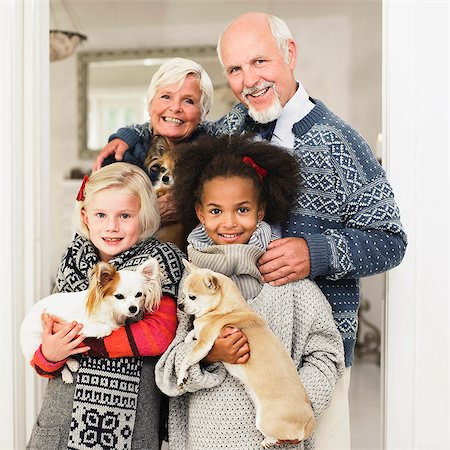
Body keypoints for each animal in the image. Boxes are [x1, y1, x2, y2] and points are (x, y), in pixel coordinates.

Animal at [21, 258, 162, 382]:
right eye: (119, 296)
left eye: (139, 294)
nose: (133, 308)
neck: (112, 310)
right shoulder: (79, 323)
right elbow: (107, 327)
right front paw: (110, 328)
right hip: (37, 343)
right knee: (55, 361)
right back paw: (67, 374)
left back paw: (72, 363)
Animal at [178, 262, 314, 448]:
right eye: (183, 294)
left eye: (192, 297)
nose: (179, 305)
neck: (226, 308)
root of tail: (308, 422)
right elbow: (193, 332)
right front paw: (187, 337)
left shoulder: (204, 344)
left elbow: (188, 358)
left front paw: (181, 376)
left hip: (265, 421)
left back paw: (267, 441)